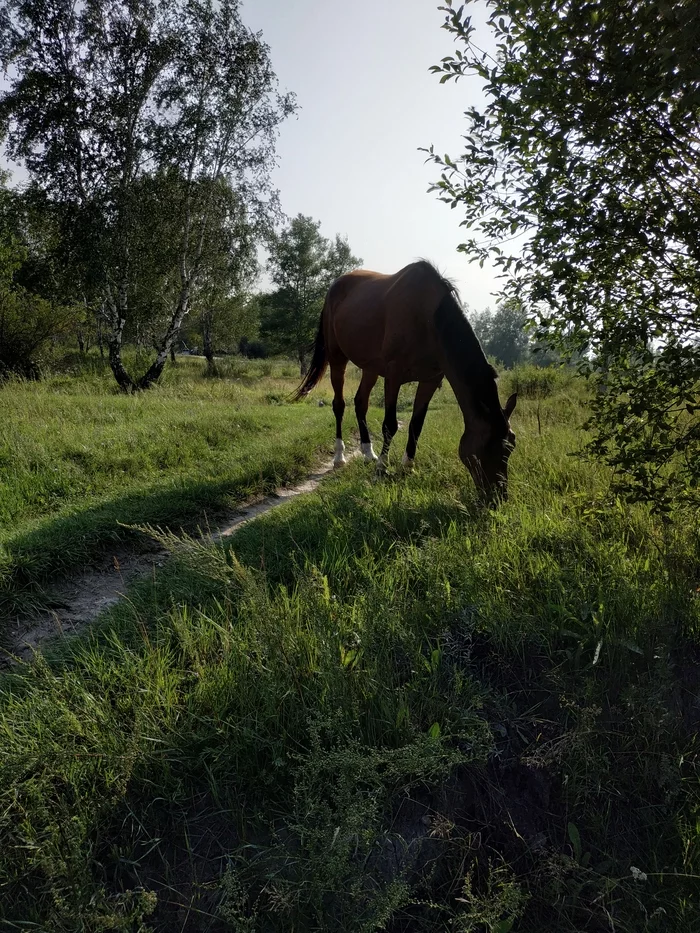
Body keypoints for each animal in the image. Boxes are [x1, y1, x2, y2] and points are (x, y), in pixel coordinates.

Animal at [292, 258, 516, 498]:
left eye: (510, 446)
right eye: (487, 447)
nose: (498, 497)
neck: (428, 318)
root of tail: (335, 287)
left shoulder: (431, 380)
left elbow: (416, 424)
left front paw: (408, 466)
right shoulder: (394, 375)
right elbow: (390, 424)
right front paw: (382, 467)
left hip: (370, 368)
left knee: (360, 403)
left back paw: (368, 452)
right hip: (337, 358)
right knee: (339, 405)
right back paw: (340, 457)